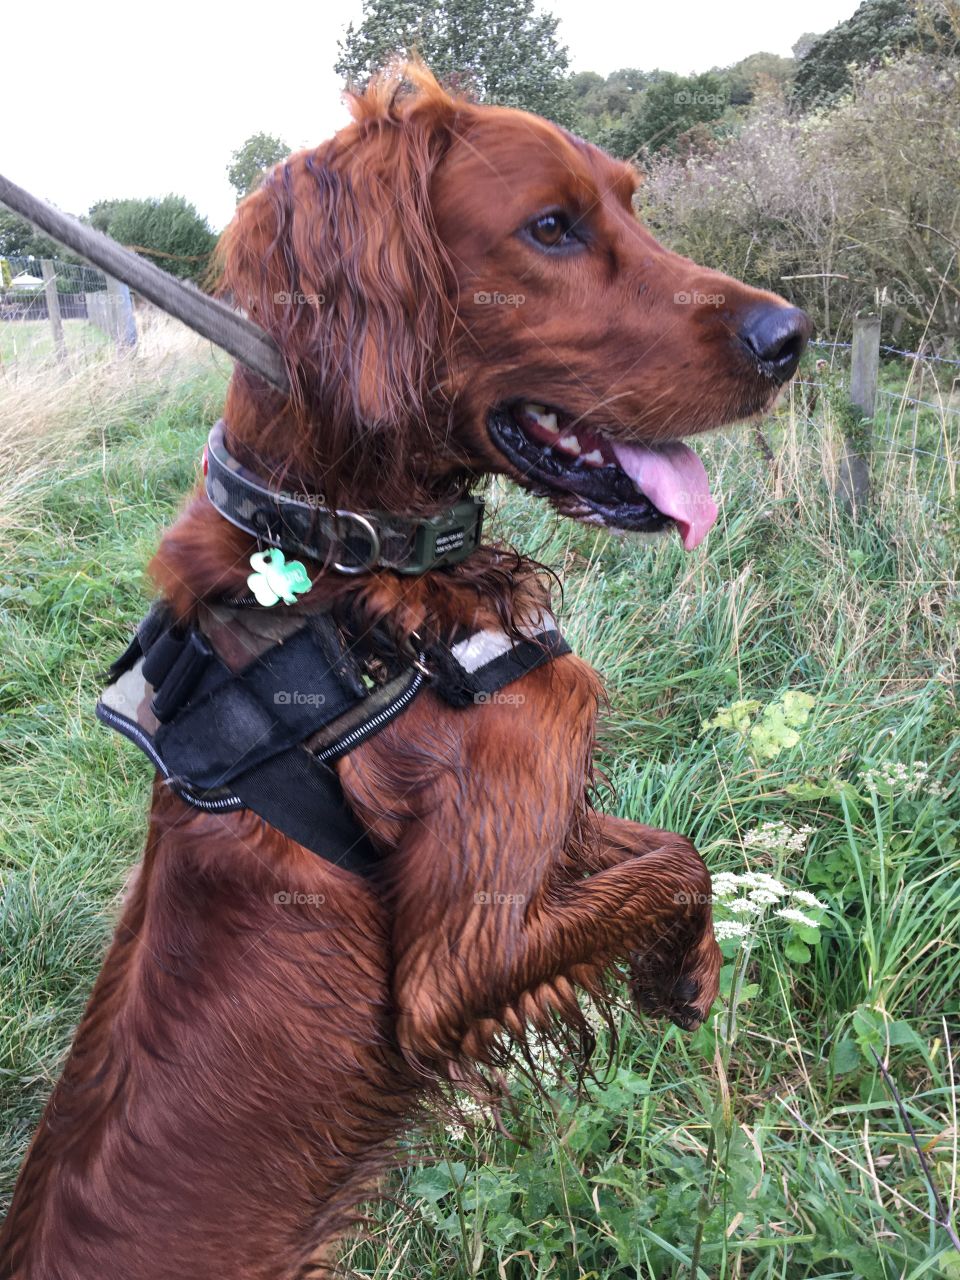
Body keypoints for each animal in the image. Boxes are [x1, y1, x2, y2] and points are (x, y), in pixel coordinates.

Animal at [0, 60, 814, 1280]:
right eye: (551, 227)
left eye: (630, 203)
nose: (793, 333)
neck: (347, 566)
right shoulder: (452, 967)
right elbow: (672, 861)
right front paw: (676, 971)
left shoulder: (546, 821)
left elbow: (659, 849)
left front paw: (693, 961)